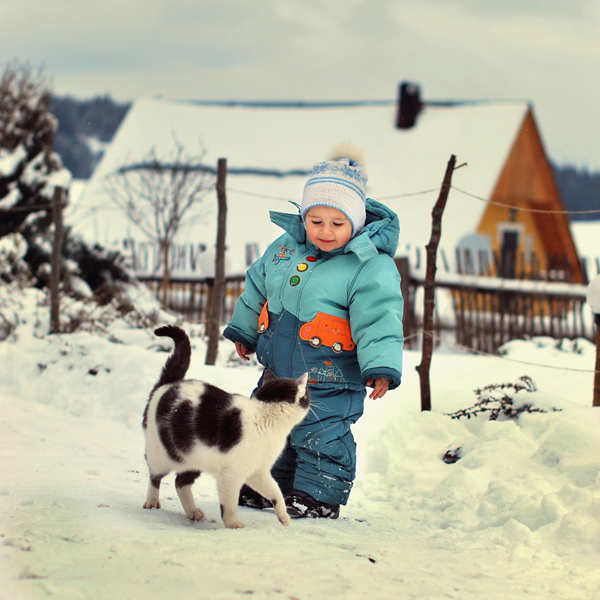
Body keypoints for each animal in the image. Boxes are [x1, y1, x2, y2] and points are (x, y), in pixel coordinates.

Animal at [141, 326, 310, 528]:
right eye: (307, 395)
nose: (312, 399)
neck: (263, 417)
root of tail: (167, 385)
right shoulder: (230, 475)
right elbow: (229, 503)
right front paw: (232, 523)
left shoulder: (257, 472)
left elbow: (275, 492)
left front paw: (283, 516)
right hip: (161, 454)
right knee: (155, 476)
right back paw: (152, 501)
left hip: (193, 458)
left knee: (180, 482)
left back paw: (192, 512)